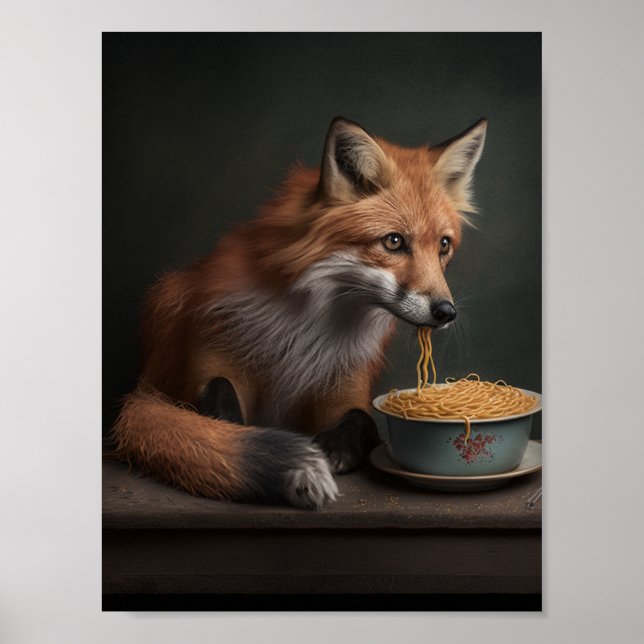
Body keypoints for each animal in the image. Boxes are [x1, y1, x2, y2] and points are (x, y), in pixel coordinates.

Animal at [113, 116, 487, 510]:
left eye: (443, 245)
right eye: (394, 241)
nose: (445, 312)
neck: (307, 328)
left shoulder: (345, 385)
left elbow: (362, 419)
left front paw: (333, 450)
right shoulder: (208, 360)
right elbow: (216, 401)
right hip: (165, 303)